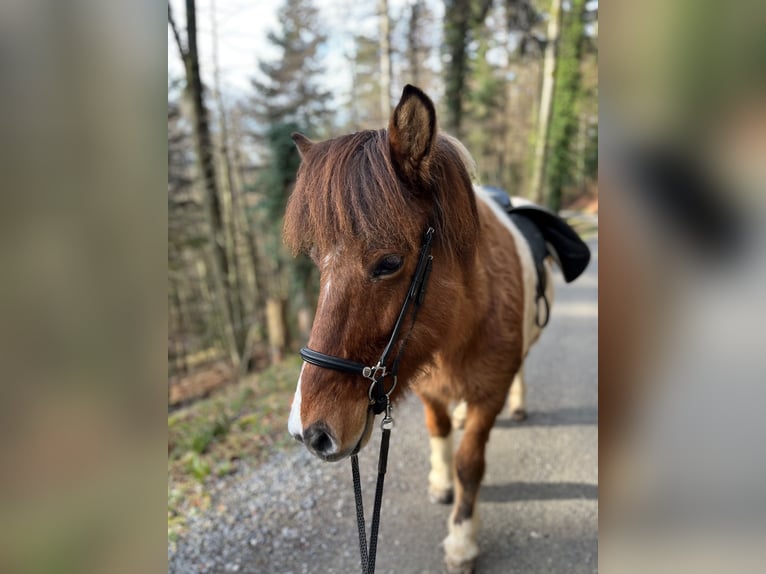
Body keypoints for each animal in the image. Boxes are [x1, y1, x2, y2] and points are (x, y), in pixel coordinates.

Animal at [285, 85, 590, 573]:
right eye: (317, 263)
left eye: (389, 263)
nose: (309, 432)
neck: (461, 325)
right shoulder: (429, 388)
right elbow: (440, 432)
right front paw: (441, 481)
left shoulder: (489, 395)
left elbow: (470, 464)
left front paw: (462, 537)